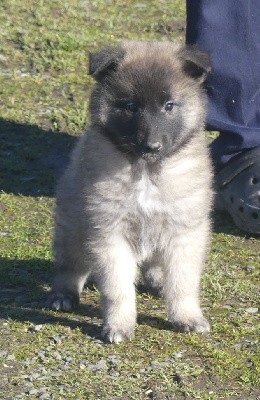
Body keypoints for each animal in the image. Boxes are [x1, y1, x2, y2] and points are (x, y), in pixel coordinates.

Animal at [48, 41, 213, 344]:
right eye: (130, 106)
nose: (152, 145)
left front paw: (187, 316)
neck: (146, 172)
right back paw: (63, 295)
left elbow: (183, 282)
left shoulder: (184, 231)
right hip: (74, 227)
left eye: (169, 106)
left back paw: (159, 279)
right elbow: (118, 289)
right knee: (70, 265)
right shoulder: (109, 234)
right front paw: (119, 325)